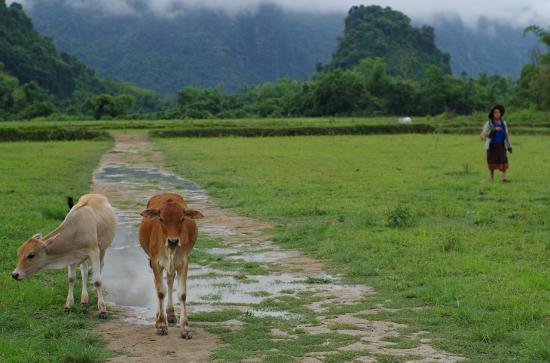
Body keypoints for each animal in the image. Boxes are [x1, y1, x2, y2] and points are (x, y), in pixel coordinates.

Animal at [140, 193, 205, 338]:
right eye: (161, 219)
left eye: (182, 219)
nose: (173, 241)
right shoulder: (156, 262)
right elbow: (160, 292)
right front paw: (161, 325)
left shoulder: (183, 263)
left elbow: (182, 293)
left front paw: (185, 328)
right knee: (158, 285)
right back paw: (159, 317)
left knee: (170, 280)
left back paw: (169, 314)